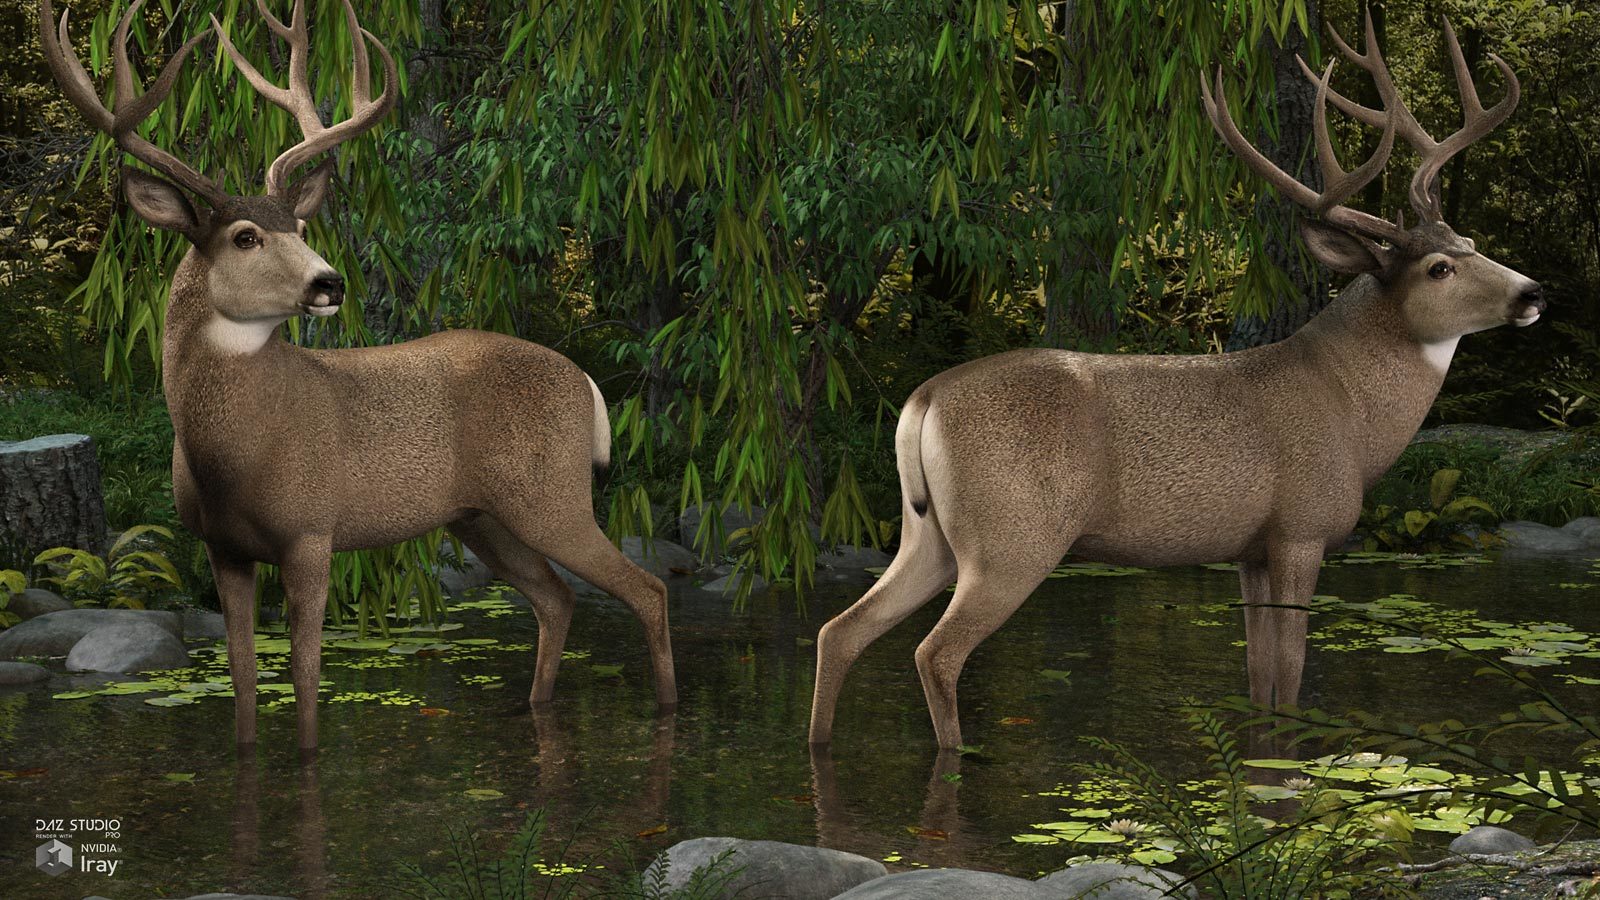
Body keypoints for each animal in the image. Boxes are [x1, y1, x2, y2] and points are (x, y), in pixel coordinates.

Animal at [39, 0, 676, 753]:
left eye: (300, 225)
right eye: (246, 236)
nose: (330, 281)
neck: (235, 454)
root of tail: (585, 381)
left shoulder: (312, 531)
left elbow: (307, 679)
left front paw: (309, 755)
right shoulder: (223, 548)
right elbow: (244, 680)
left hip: (552, 495)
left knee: (647, 589)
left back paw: (667, 712)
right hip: (480, 516)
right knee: (558, 597)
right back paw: (538, 708)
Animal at [809, 13, 1544, 750]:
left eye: (1472, 245)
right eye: (1439, 269)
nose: (1532, 292)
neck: (1352, 411)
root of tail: (923, 398)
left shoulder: (1252, 549)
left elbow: (1259, 679)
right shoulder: (1301, 529)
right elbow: (1289, 679)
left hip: (928, 534)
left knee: (838, 629)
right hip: (1013, 537)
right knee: (935, 652)